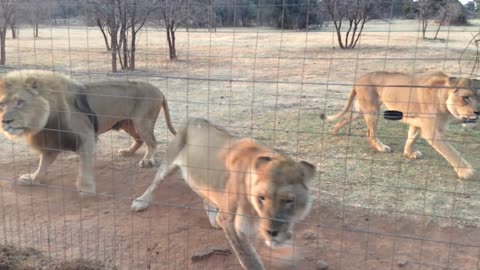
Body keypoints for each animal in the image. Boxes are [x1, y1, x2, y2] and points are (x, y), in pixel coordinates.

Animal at [0, 69, 176, 194]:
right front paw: (33, 178)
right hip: (127, 123)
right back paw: (127, 152)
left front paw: (86, 187)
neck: (46, 116)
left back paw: (147, 160)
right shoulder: (53, 138)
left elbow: (84, 165)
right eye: (2, 104)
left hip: (142, 122)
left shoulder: (85, 136)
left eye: (20, 102)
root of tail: (158, 90)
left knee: (152, 142)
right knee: (139, 140)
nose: (5, 122)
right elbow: (43, 163)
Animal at [130, 118, 316, 270]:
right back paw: (141, 202)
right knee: (155, 183)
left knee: (206, 199)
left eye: (289, 200)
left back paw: (213, 221)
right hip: (169, 161)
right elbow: (250, 259)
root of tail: (195, 118)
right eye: (261, 198)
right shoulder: (231, 222)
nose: (272, 232)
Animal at [320, 71, 478, 179]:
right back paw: (381, 147)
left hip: (360, 110)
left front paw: (409, 153)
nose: (478, 112)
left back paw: (334, 130)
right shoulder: (432, 131)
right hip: (372, 110)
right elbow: (451, 152)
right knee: (370, 134)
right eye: (466, 98)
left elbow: (411, 139)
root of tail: (359, 78)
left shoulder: (418, 124)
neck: (443, 98)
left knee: (347, 118)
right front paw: (466, 171)